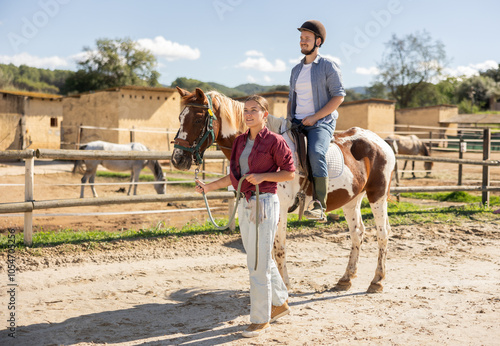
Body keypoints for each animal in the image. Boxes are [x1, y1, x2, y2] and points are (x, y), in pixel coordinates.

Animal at [171, 88, 394, 294]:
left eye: (198, 120)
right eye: (180, 117)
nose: (177, 159)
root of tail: (380, 142)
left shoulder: (279, 210)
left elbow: (278, 247)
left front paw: (284, 286)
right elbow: (266, 248)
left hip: (377, 195)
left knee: (382, 233)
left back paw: (377, 281)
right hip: (351, 200)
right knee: (357, 233)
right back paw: (346, 279)